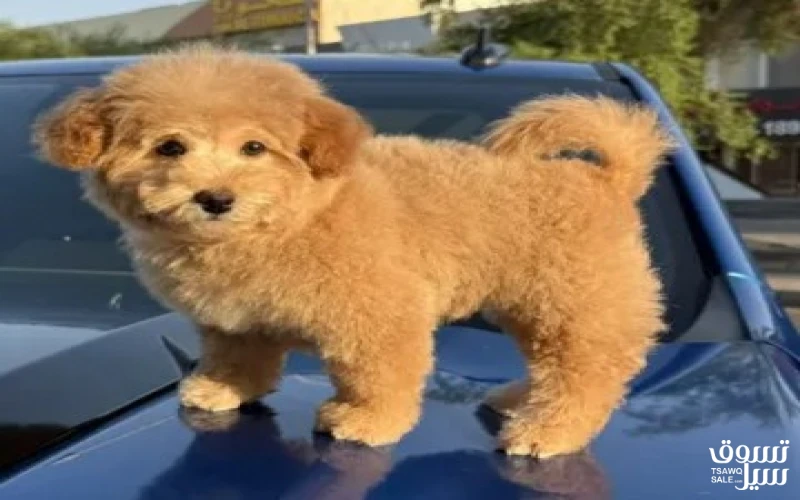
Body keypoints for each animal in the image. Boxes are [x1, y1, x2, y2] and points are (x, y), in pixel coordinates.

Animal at [33, 46, 672, 457]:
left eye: (254, 148)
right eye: (170, 147)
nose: (215, 198)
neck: (286, 222)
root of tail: (606, 178)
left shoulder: (379, 314)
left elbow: (379, 373)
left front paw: (369, 420)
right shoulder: (235, 321)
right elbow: (240, 358)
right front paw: (221, 388)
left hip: (576, 302)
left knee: (587, 374)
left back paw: (549, 432)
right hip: (533, 305)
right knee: (555, 365)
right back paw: (521, 401)